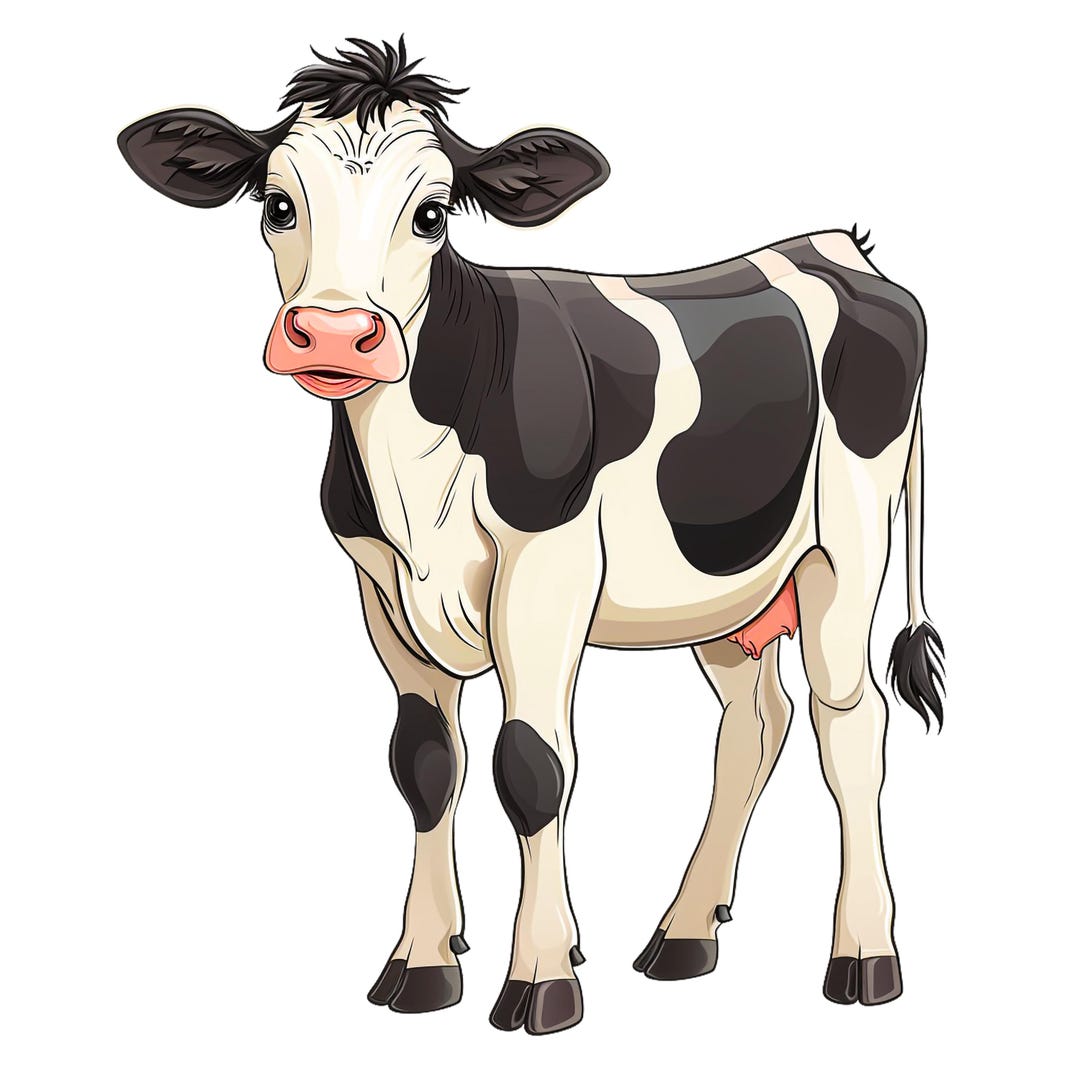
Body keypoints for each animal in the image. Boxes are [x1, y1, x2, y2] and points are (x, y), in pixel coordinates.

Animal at [118, 36, 944, 1035]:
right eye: (278, 205)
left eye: (431, 214)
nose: (336, 334)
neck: (412, 474)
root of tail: (836, 246)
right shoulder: (381, 590)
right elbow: (425, 765)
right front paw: (422, 963)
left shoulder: (544, 573)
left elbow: (533, 764)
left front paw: (543, 977)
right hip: (725, 587)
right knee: (756, 724)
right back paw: (683, 935)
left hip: (846, 545)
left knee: (849, 724)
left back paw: (864, 954)